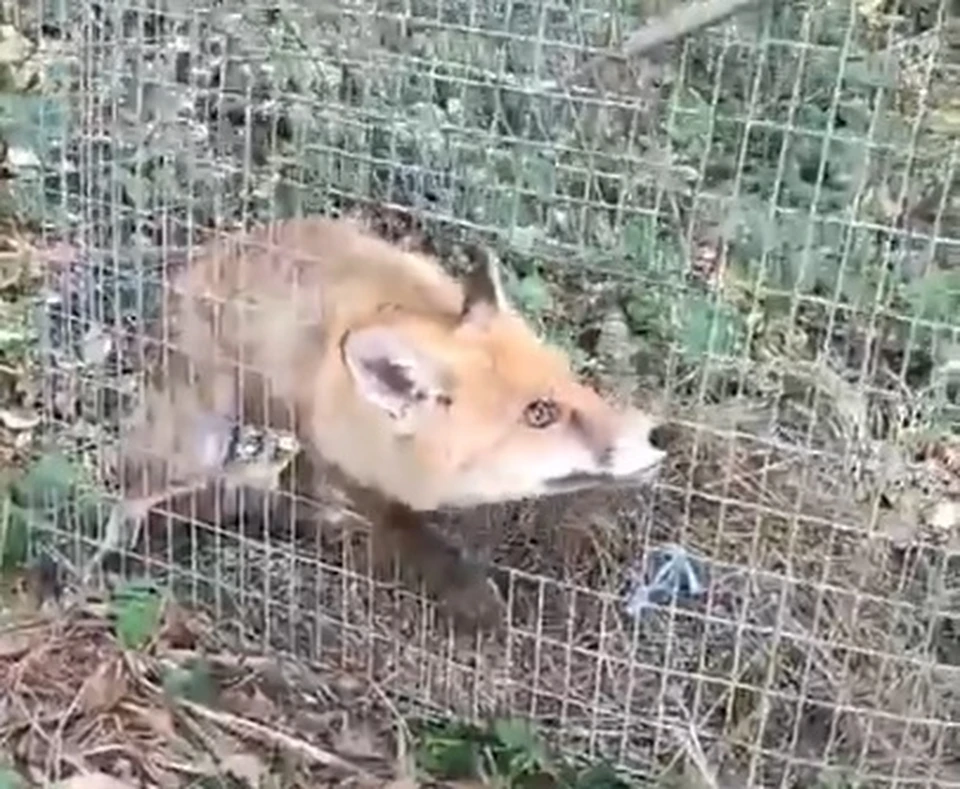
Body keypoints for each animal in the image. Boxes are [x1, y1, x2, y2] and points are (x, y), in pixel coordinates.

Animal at [88, 217, 668, 628]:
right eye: (540, 414)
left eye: (573, 383)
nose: (657, 433)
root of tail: (194, 264)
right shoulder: (343, 458)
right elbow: (405, 525)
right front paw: (460, 588)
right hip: (197, 446)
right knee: (133, 485)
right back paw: (111, 551)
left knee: (286, 486)